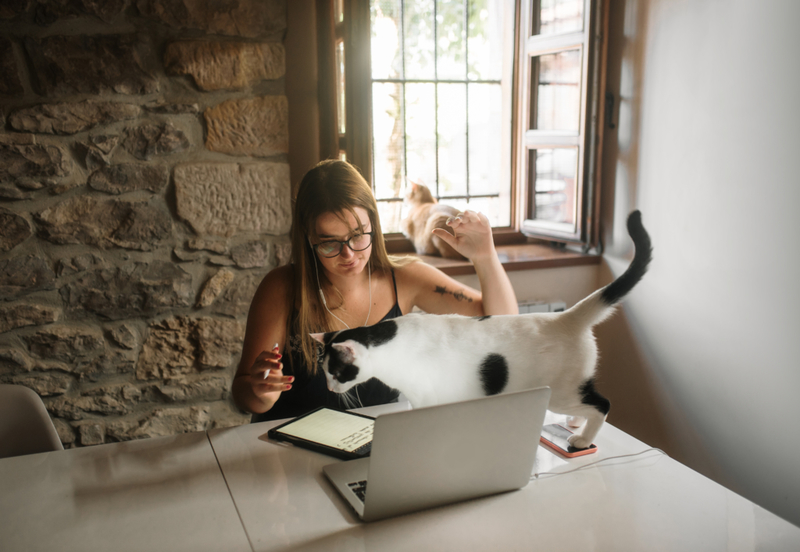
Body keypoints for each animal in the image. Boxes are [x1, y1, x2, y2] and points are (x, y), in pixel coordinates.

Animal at [310, 210, 652, 448]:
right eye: (324, 373)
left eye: (337, 373)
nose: (329, 388)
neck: (387, 345)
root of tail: (567, 316)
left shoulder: (424, 396)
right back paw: (575, 423)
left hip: (560, 392)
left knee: (602, 404)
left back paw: (582, 438)